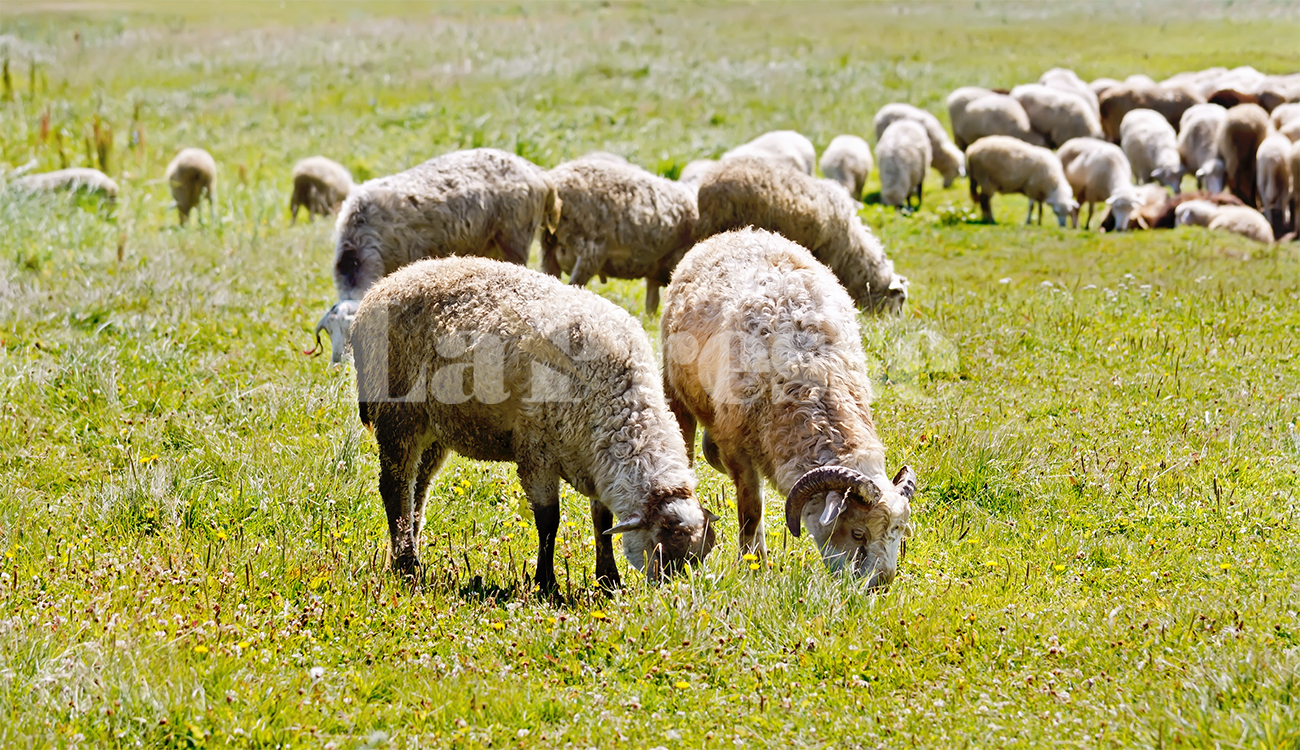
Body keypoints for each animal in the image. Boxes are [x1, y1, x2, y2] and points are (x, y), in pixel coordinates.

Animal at [351, 256, 718, 588]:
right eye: (664, 553)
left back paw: (404, 556)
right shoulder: (536, 451)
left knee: (418, 487)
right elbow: (548, 520)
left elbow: (602, 520)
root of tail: (384, 285)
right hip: (397, 414)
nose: (671, 598)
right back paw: (407, 565)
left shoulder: (595, 459)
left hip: (433, 427)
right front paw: (546, 583)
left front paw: (608, 580)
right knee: (395, 486)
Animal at [659, 228, 915, 586]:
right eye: (858, 533)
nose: (879, 585)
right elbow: (751, 511)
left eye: (900, 534)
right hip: (676, 389)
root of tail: (740, 231)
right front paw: (753, 564)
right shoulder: (739, 449)